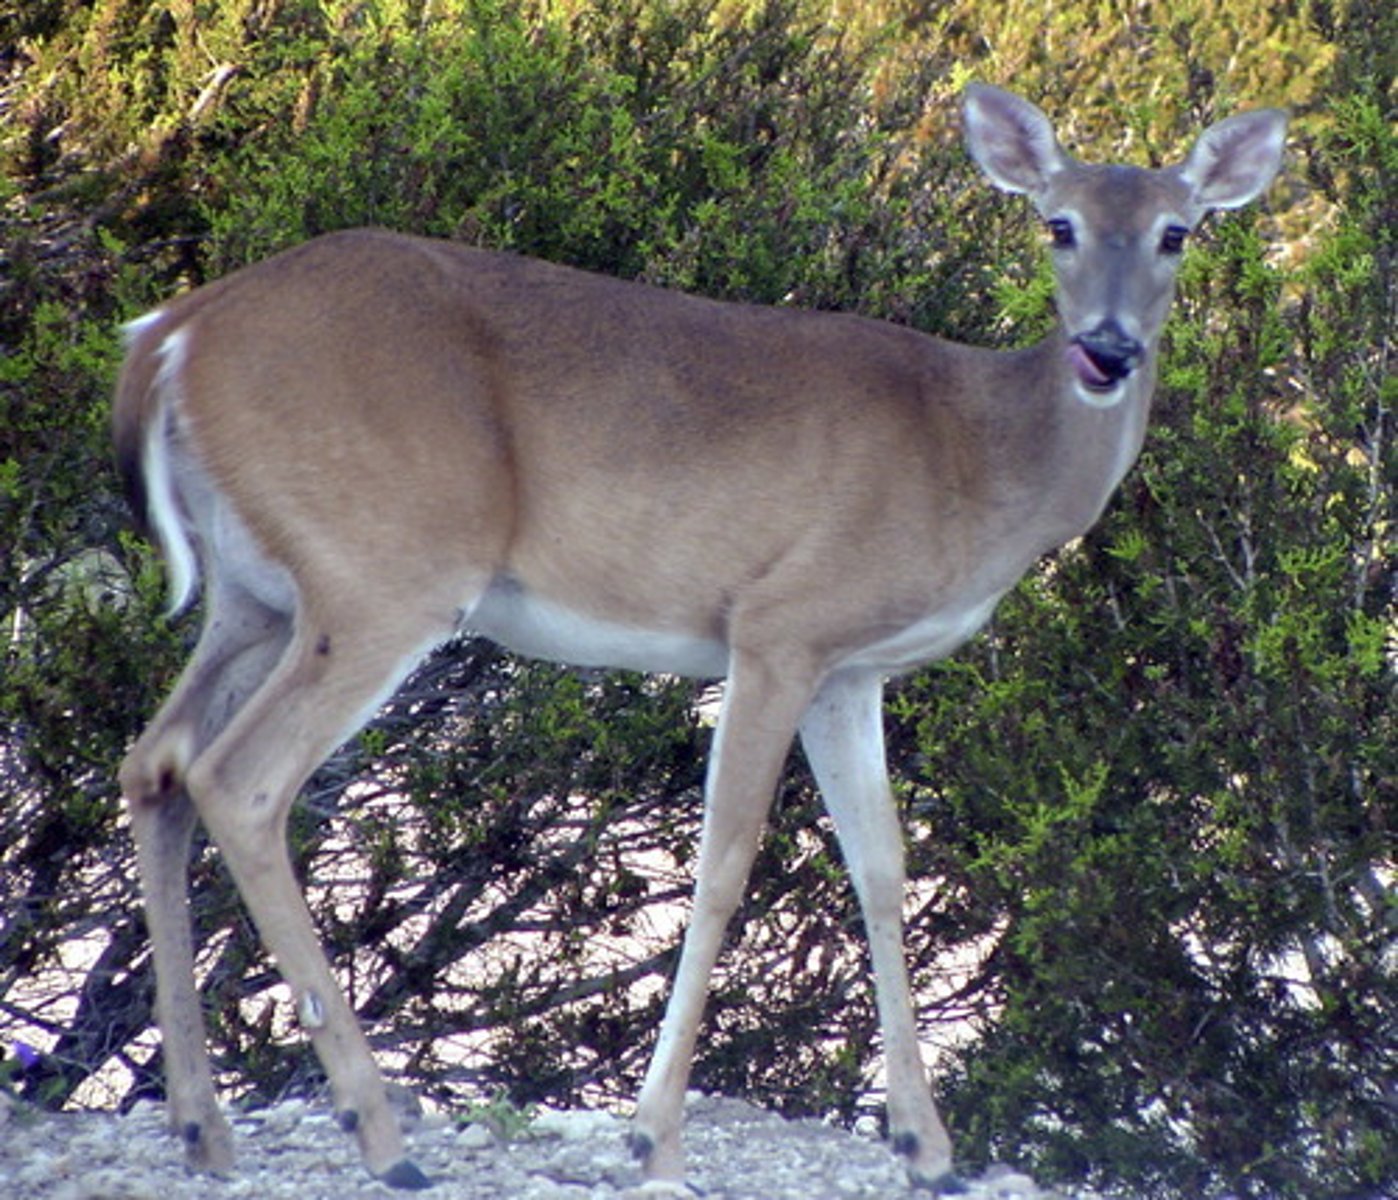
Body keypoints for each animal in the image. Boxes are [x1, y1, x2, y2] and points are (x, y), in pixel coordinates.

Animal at [113, 83, 1286, 1193]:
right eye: (1057, 224)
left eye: (1177, 233)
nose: (1107, 350)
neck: (976, 457)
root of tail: (174, 333)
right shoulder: (779, 627)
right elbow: (725, 865)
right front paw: (656, 1139)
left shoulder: (852, 671)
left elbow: (882, 867)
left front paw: (927, 1147)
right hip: (384, 570)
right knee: (242, 780)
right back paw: (380, 1136)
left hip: (256, 596)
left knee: (157, 760)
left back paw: (203, 1129)